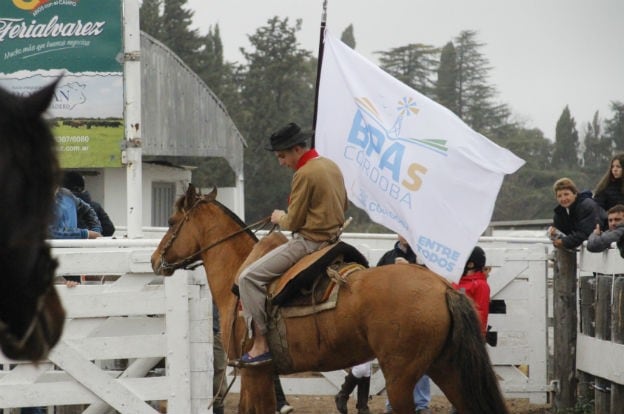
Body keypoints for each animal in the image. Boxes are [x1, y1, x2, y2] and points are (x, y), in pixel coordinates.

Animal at [154, 186, 510, 412]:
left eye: (171, 222)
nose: (156, 260)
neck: (238, 276)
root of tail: (443, 287)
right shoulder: (260, 375)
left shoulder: (255, 372)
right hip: (447, 368)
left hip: (402, 376)